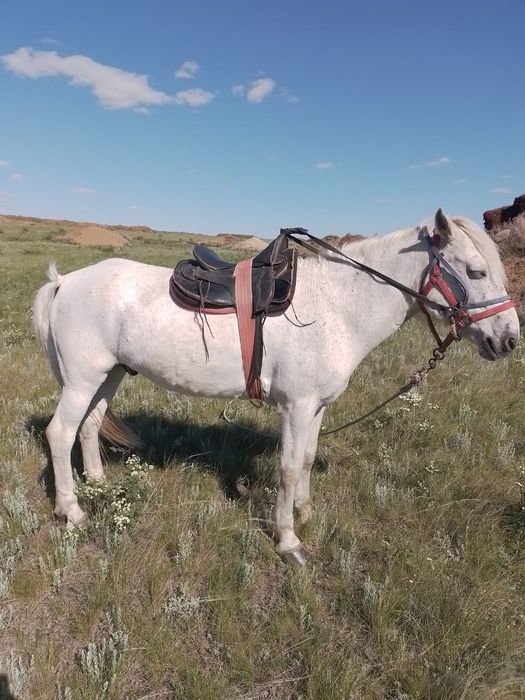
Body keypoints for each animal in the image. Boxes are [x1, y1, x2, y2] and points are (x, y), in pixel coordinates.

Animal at [32, 209, 519, 565]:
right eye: (476, 272)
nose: (509, 340)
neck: (337, 306)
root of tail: (63, 282)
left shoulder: (316, 408)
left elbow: (305, 460)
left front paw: (305, 511)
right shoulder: (296, 407)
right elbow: (286, 468)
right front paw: (288, 540)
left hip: (108, 376)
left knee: (89, 427)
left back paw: (97, 486)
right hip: (82, 381)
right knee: (60, 433)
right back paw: (72, 510)